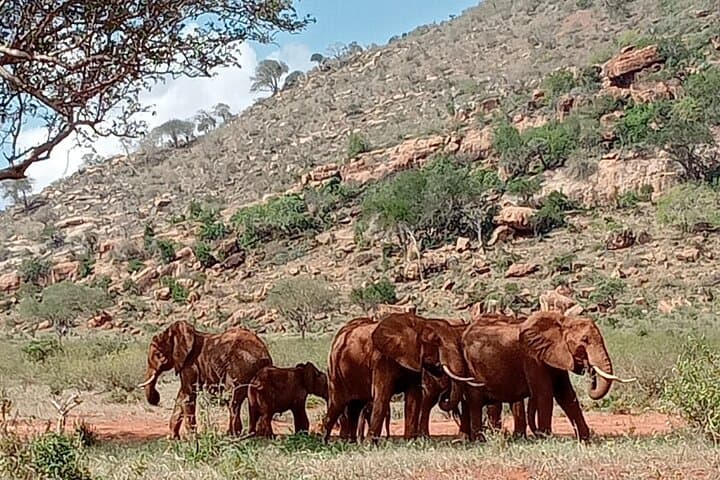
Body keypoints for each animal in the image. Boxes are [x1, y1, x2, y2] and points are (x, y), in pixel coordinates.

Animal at [138, 320, 272, 439]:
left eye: (158, 354)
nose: (156, 398)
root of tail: (264, 354)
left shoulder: (190, 363)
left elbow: (188, 395)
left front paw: (192, 438)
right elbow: (182, 396)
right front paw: (173, 438)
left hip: (240, 365)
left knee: (232, 399)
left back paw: (232, 435)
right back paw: (259, 435)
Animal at [457, 311, 635, 441]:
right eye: (584, 340)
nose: (587, 366)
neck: (562, 322)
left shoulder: (556, 355)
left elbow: (566, 395)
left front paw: (585, 439)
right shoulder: (532, 356)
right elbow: (545, 393)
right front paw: (546, 437)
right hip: (471, 369)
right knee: (475, 402)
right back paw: (479, 439)